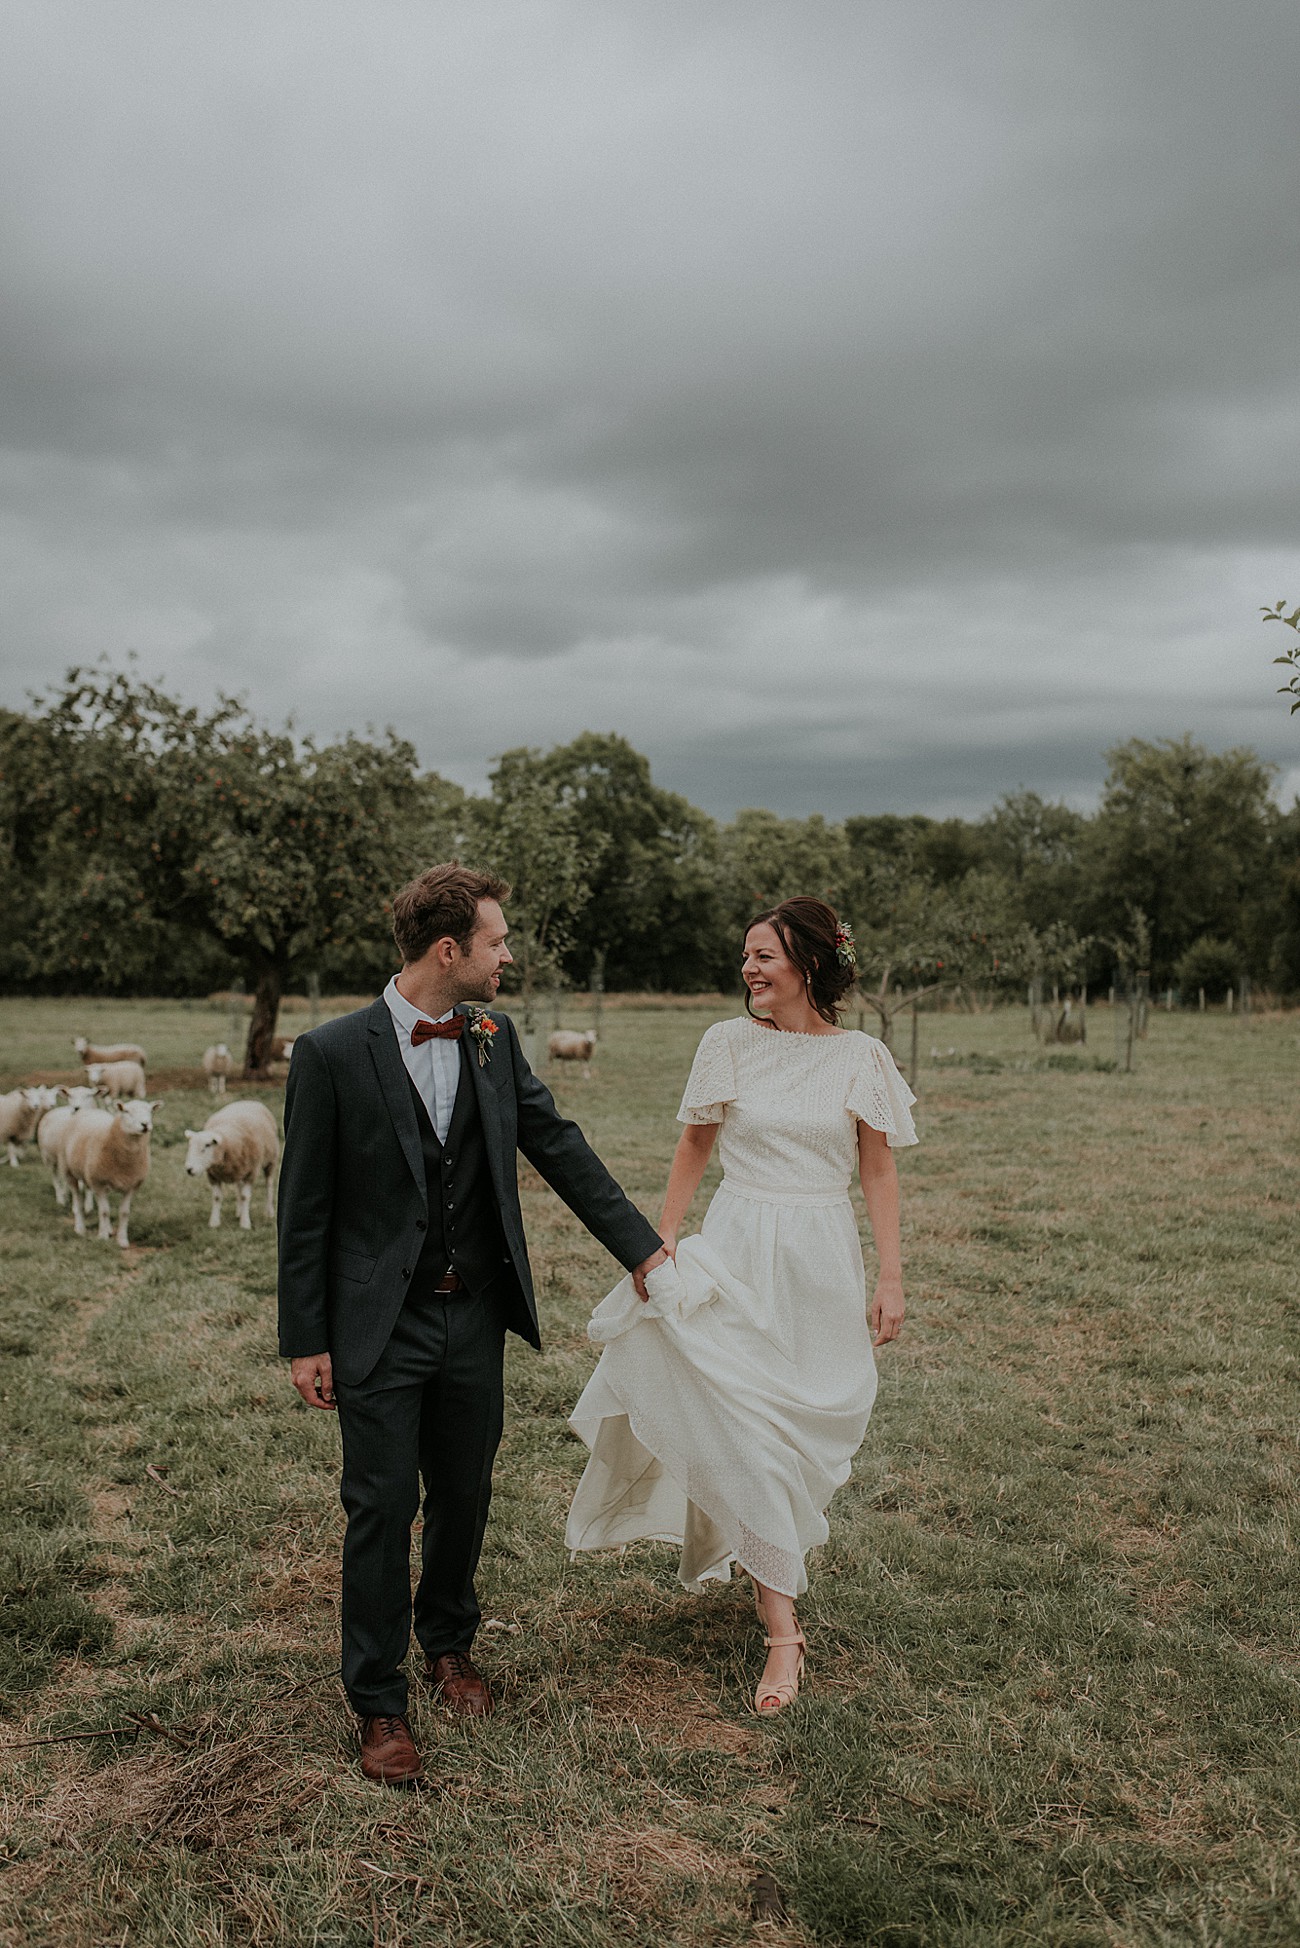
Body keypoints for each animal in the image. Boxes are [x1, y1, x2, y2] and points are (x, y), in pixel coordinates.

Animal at [63, 1098, 161, 1246]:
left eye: (150, 1111)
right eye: (126, 1111)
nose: (145, 1124)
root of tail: (88, 1110)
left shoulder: (131, 1185)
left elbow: (124, 1213)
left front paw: (122, 1239)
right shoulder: (98, 1183)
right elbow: (104, 1211)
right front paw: (102, 1236)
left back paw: (108, 1228)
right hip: (69, 1172)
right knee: (78, 1201)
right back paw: (80, 1228)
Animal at [184, 1098, 278, 1231]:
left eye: (206, 1146)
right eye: (190, 1146)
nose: (189, 1169)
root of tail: (249, 1100)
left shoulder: (252, 1172)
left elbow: (245, 1197)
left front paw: (245, 1223)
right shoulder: (213, 1175)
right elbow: (217, 1197)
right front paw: (214, 1222)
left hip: (270, 1160)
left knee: (269, 1184)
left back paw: (269, 1212)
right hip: (239, 1169)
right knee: (238, 1186)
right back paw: (239, 1212)